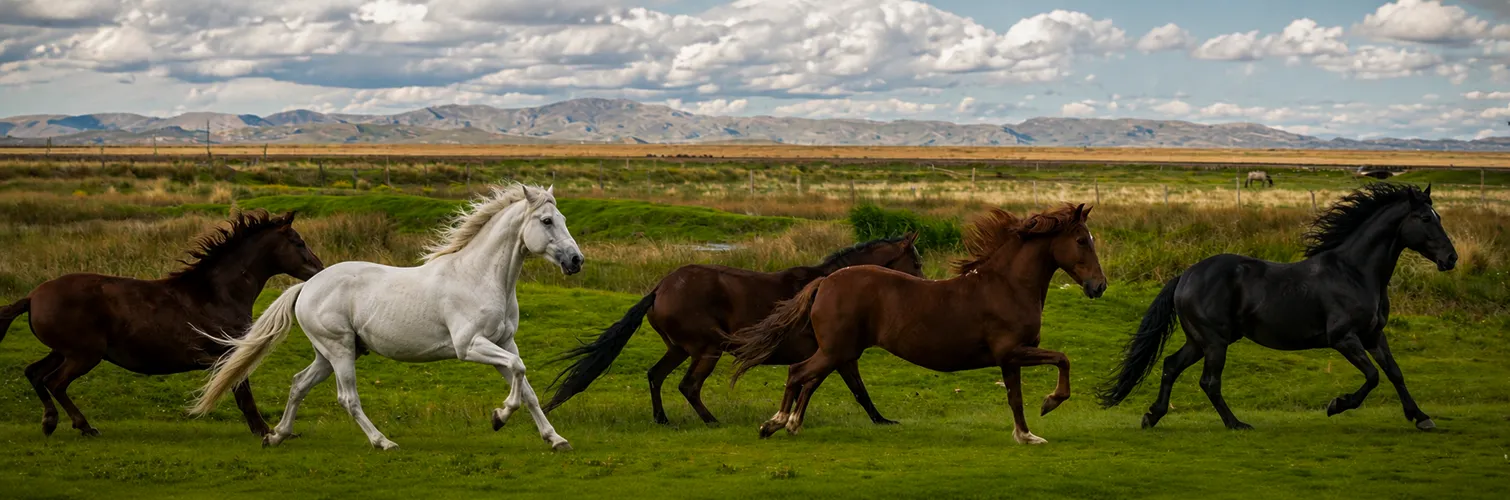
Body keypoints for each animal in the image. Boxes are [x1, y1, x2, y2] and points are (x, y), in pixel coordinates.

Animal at [0, 210, 324, 437]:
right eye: (298, 242)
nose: (319, 268)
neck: (217, 294)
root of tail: (32, 296)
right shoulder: (229, 354)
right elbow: (242, 392)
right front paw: (264, 431)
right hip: (84, 355)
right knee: (54, 382)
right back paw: (84, 426)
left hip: (63, 351)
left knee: (34, 374)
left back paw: (49, 422)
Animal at [192, 184, 585, 451]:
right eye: (547, 221)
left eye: (564, 219)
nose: (576, 260)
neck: (479, 276)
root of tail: (307, 286)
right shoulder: (471, 345)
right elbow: (519, 374)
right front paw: (499, 417)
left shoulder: (504, 342)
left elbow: (527, 387)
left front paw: (555, 439)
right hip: (339, 350)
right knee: (347, 398)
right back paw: (383, 442)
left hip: (329, 353)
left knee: (298, 383)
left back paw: (276, 436)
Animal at [543, 233, 924, 425]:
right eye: (917, 261)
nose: (924, 284)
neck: (830, 285)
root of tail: (660, 289)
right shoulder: (839, 354)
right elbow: (857, 389)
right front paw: (881, 420)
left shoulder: (834, 355)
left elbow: (842, 388)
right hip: (707, 349)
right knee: (688, 385)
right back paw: (711, 421)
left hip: (679, 349)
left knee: (655, 375)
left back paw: (662, 419)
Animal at [728, 204, 1107, 444]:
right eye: (1081, 240)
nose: (1099, 286)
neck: (1006, 286)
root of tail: (825, 281)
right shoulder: (1014, 351)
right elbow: (1062, 360)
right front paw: (1050, 403)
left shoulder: (1010, 358)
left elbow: (1015, 397)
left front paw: (1027, 435)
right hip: (837, 350)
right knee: (798, 373)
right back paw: (774, 424)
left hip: (838, 352)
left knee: (808, 379)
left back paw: (792, 425)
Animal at [1097, 183, 1456, 431]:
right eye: (1425, 218)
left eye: (1439, 216)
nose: (1451, 258)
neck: (1354, 272)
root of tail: (1185, 275)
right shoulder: (1344, 338)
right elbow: (1372, 376)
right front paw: (1337, 404)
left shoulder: (1373, 335)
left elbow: (1394, 373)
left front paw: (1421, 417)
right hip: (1214, 342)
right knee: (1209, 382)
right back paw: (1236, 424)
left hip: (1199, 341)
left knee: (1171, 366)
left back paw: (1152, 416)